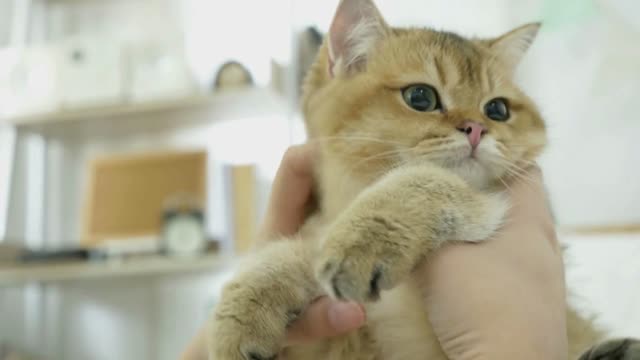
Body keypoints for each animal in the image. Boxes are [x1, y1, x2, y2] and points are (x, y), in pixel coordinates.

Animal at [209, 0, 636, 360]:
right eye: (420, 97)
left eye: (497, 109)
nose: (478, 129)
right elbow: (285, 254)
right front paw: (241, 314)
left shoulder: (491, 202)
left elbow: (421, 180)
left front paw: (364, 241)